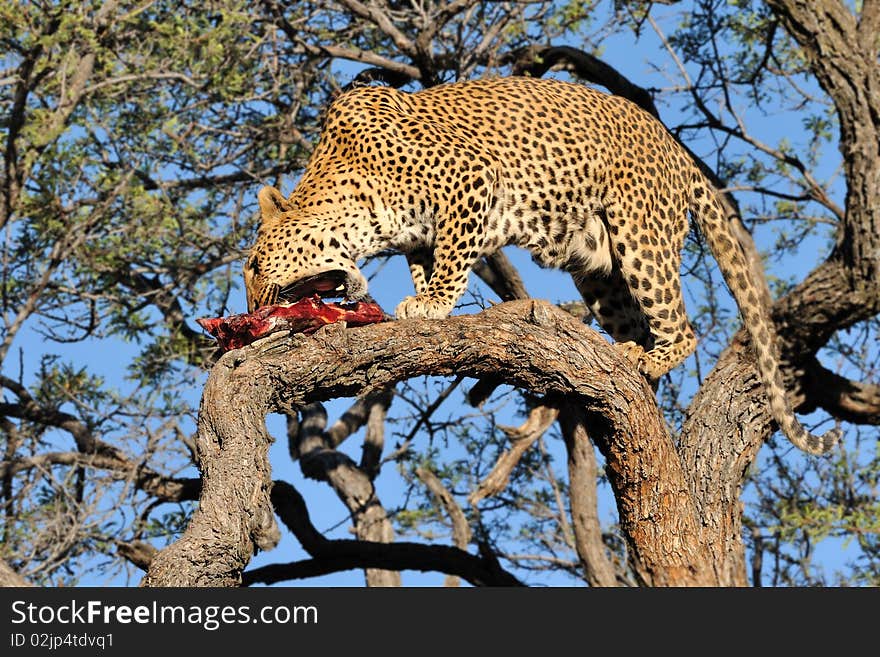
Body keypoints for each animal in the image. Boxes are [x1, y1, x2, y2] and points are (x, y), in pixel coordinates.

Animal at [242, 74, 840, 454]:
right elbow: (426, 260)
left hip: (640, 235)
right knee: (632, 319)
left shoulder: (473, 180)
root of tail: (677, 149)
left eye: (251, 265)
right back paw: (629, 360)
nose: (251, 308)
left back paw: (651, 360)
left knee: (683, 327)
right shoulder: (421, 233)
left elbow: (453, 259)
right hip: (599, 270)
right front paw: (421, 298)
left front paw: (433, 305)